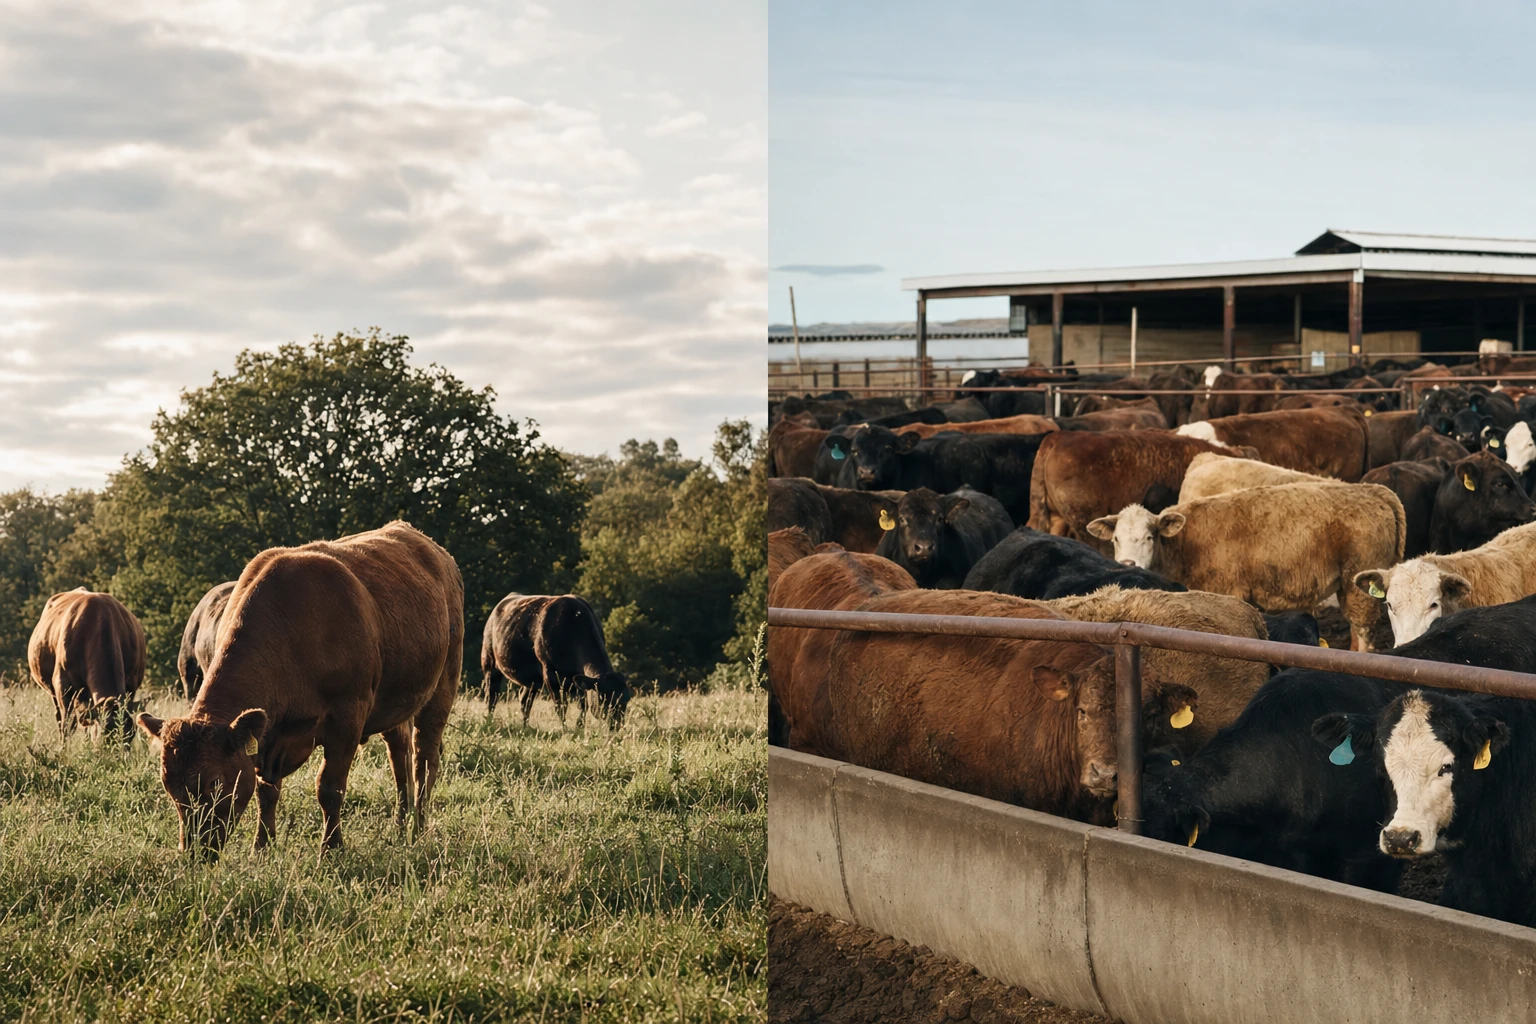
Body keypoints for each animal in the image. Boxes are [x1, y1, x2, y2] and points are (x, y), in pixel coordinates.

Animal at [30, 588, 146, 744]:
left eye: (131, 735)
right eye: (104, 736)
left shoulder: (131, 686)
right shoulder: (62, 684)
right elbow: (68, 725)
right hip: (53, 690)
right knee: (60, 718)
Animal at [136, 522, 462, 858]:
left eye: (213, 782)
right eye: (169, 786)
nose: (194, 851)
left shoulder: (349, 715)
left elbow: (330, 788)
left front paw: (331, 849)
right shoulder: (268, 737)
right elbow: (266, 792)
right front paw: (262, 847)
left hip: (443, 685)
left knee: (425, 760)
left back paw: (418, 829)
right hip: (396, 702)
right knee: (400, 756)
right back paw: (400, 827)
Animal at [482, 594, 632, 728]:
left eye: (626, 700)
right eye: (604, 698)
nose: (617, 725)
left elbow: (583, 705)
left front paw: (579, 727)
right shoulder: (550, 672)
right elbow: (561, 706)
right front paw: (565, 729)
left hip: (532, 679)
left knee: (525, 701)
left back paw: (526, 727)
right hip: (489, 662)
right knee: (491, 697)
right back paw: (489, 722)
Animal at [1088, 482, 1406, 651]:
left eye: (1149, 536)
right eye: (1116, 538)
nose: (1128, 563)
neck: (1182, 545)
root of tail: (1372, 490)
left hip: (1358, 584)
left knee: (1363, 630)